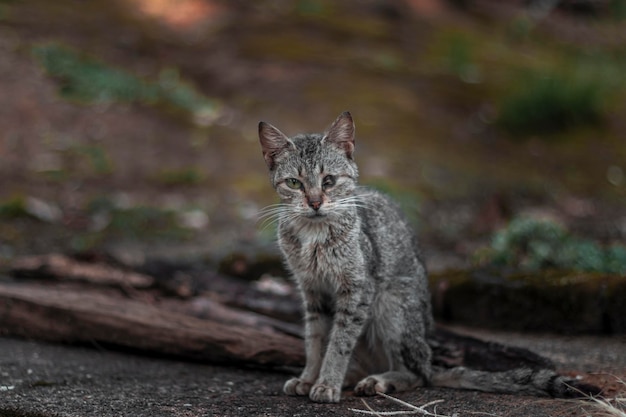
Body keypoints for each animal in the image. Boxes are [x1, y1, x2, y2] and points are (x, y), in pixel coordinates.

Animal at [256, 112, 596, 402]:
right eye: (294, 183)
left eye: (329, 180)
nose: (314, 203)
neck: (313, 236)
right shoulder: (311, 292)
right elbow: (315, 341)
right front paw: (309, 377)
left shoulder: (357, 290)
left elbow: (338, 343)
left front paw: (326, 383)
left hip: (392, 309)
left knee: (419, 373)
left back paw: (381, 380)